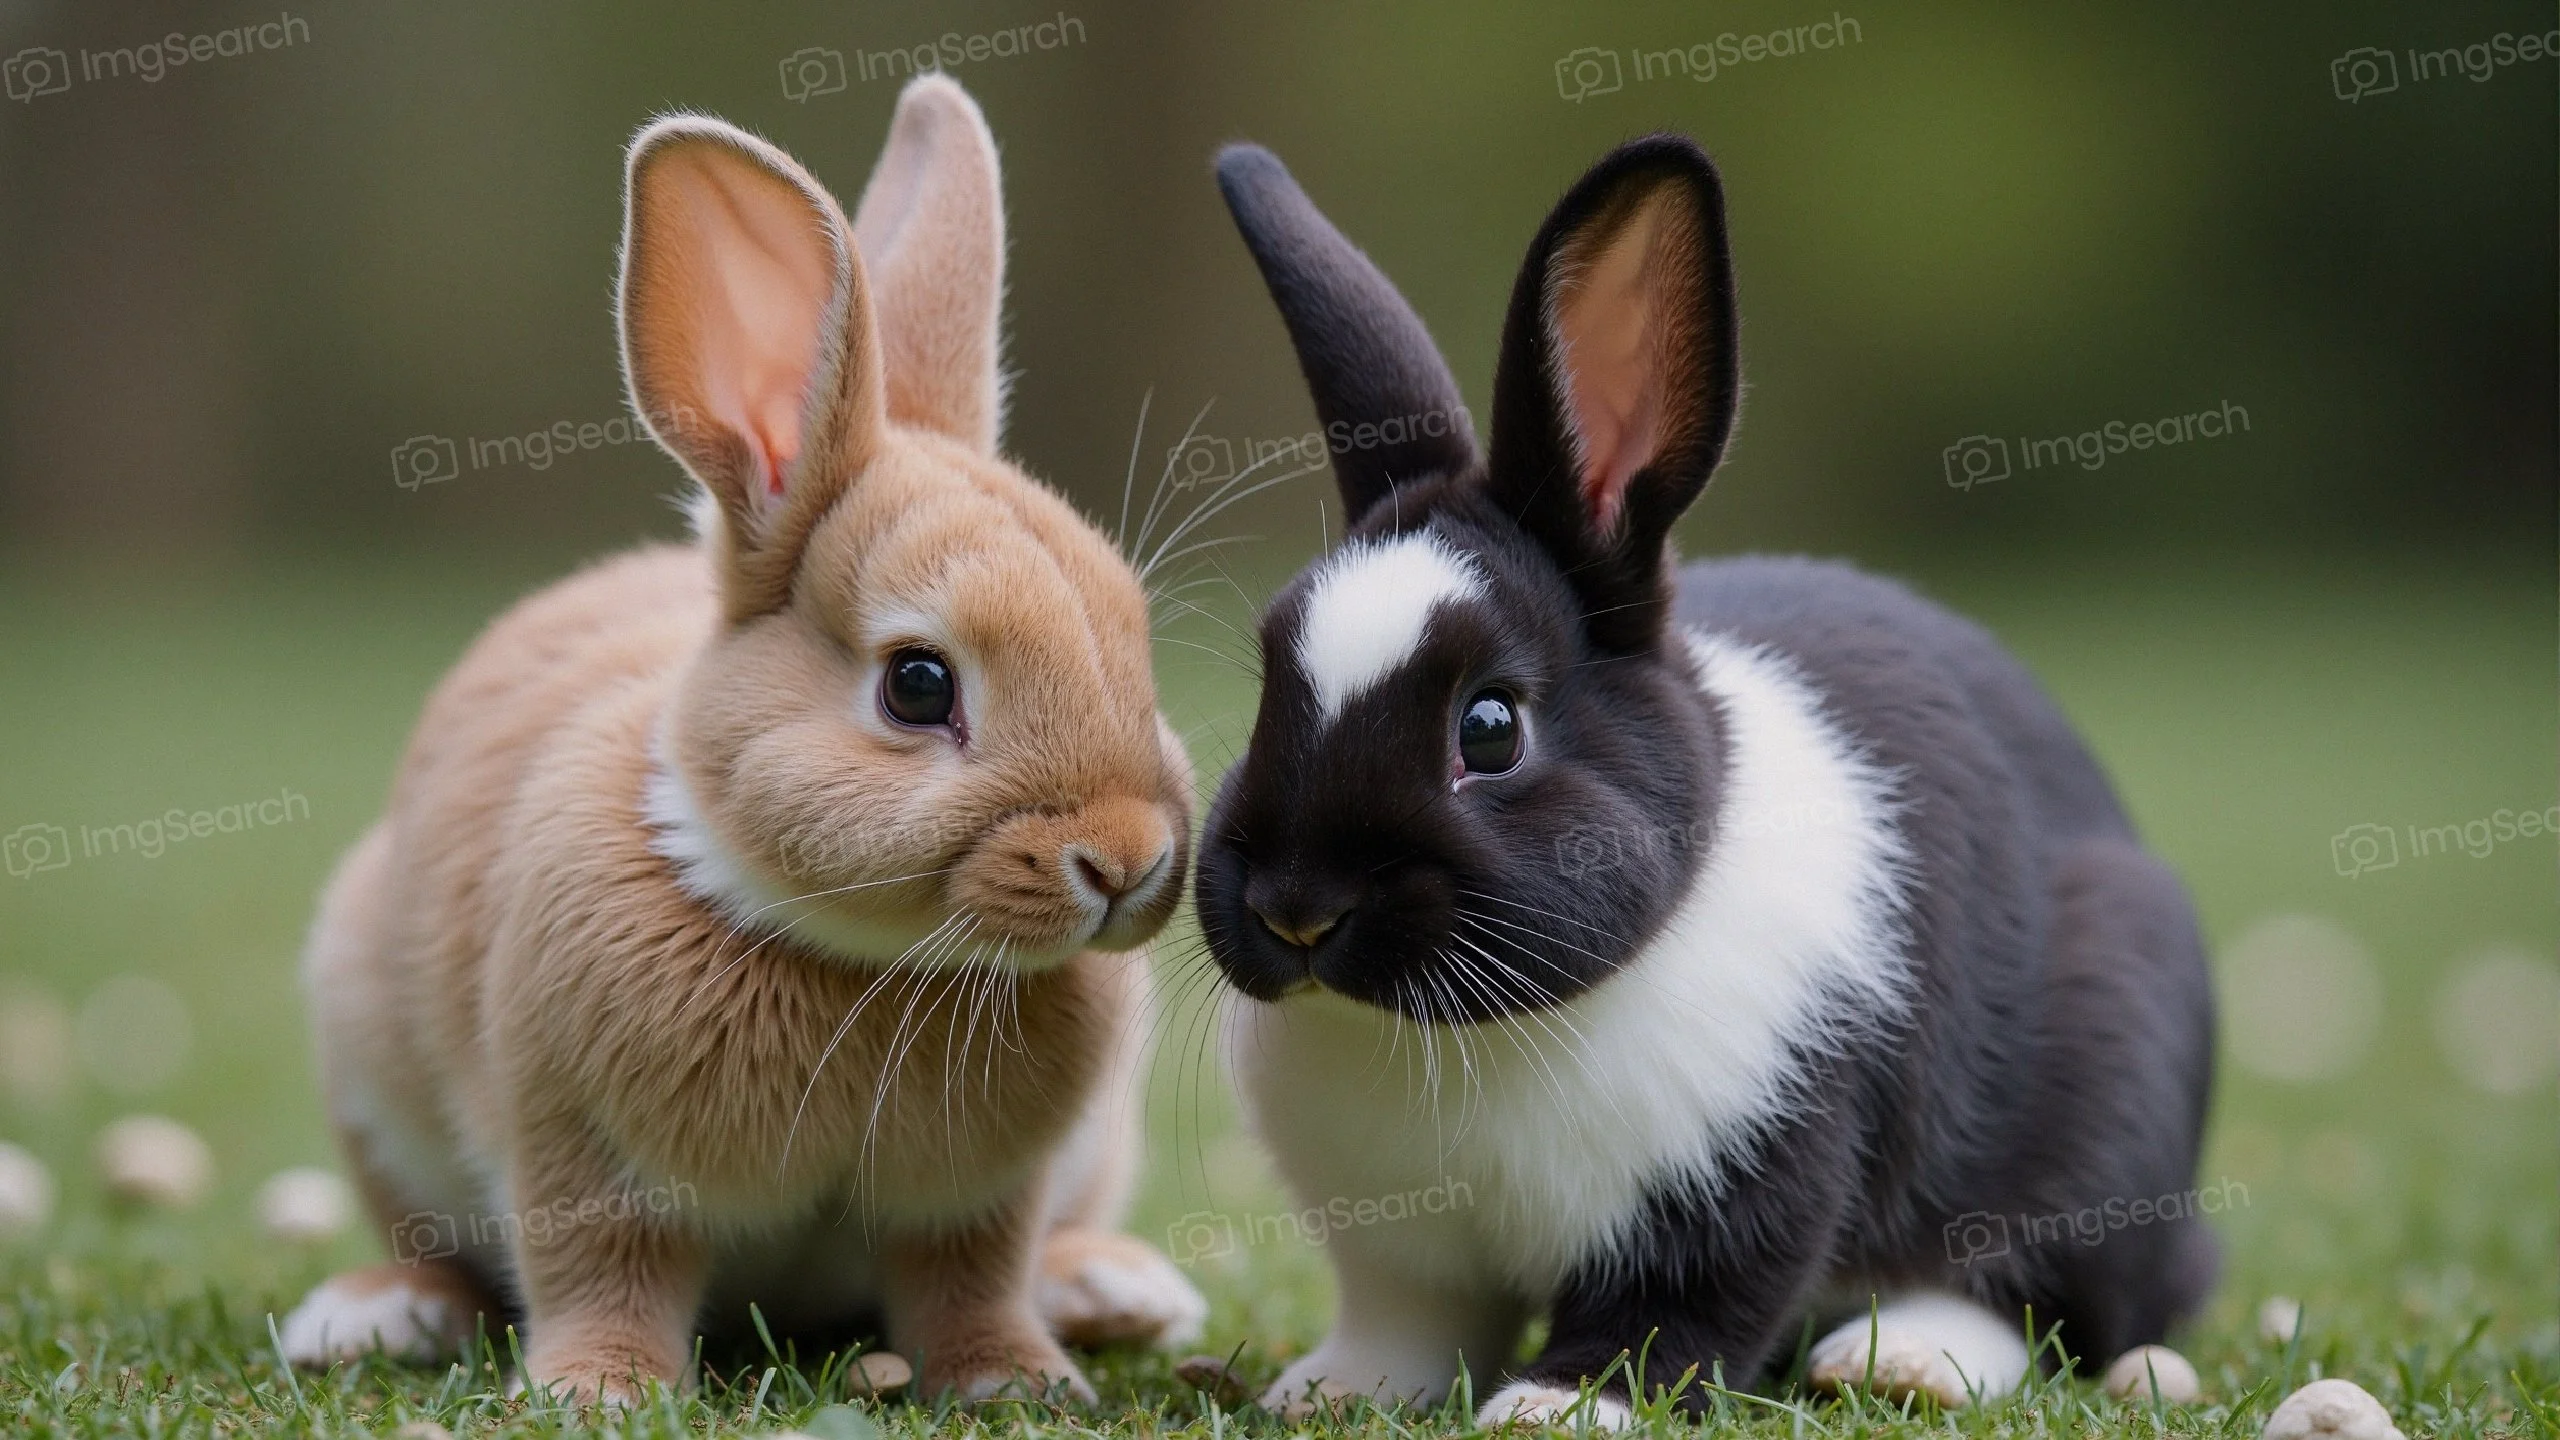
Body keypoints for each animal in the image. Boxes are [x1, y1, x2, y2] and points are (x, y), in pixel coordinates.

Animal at [275, 75, 1208, 1405]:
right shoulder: (582, 1150)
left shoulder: (980, 1199)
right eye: (917, 685)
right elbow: (603, 1274)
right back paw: (372, 1314)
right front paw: (598, 1391)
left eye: (1130, 642)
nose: (1127, 860)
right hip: (364, 1052)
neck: (862, 961)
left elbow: (970, 1284)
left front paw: (1015, 1381)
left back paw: (1112, 1291)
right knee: (436, 1249)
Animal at [1192, 135, 2218, 1425]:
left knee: (2038, 1294)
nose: (1295, 908)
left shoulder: (1743, 1176)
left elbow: (1674, 1314)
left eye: (1491, 728)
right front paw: (1332, 1391)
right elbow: (1410, 1323)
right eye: (1269, 681)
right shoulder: (1398, 1254)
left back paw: (1901, 1363)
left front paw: (1559, 1408)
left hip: (2107, 1115)